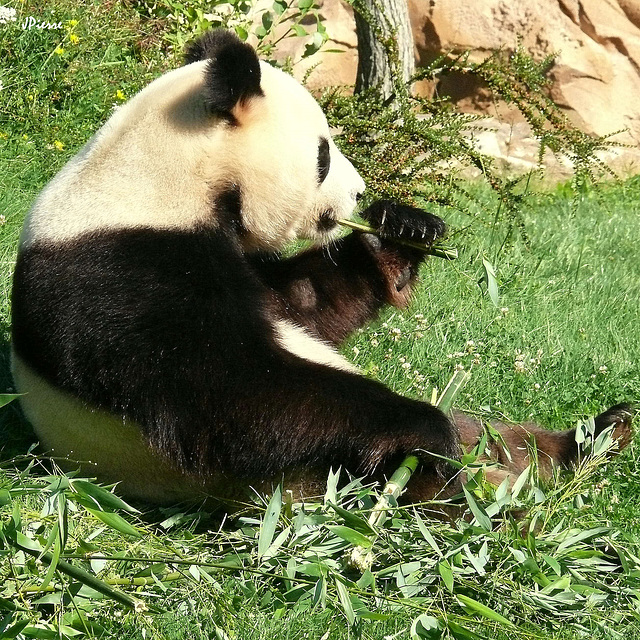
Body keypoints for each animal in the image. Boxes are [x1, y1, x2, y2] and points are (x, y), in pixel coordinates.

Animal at [10, 31, 632, 504]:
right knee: (420, 470)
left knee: (498, 434)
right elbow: (230, 393)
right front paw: (420, 428)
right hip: (327, 474)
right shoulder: (123, 270)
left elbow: (303, 307)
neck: (158, 179)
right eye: (323, 154)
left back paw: (596, 438)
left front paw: (403, 232)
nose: (358, 194)